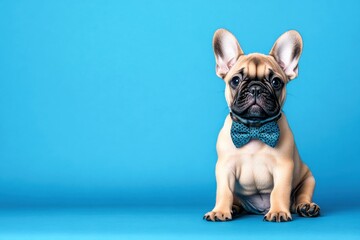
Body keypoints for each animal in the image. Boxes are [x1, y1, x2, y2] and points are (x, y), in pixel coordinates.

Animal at [204, 29, 320, 222]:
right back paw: (234, 208)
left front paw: (278, 211)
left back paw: (307, 207)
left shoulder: (283, 168)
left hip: (308, 178)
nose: (256, 88)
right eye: (235, 81)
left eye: (276, 82)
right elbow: (224, 191)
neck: (254, 129)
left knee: (301, 196)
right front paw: (219, 210)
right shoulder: (224, 168)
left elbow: (279, 191)